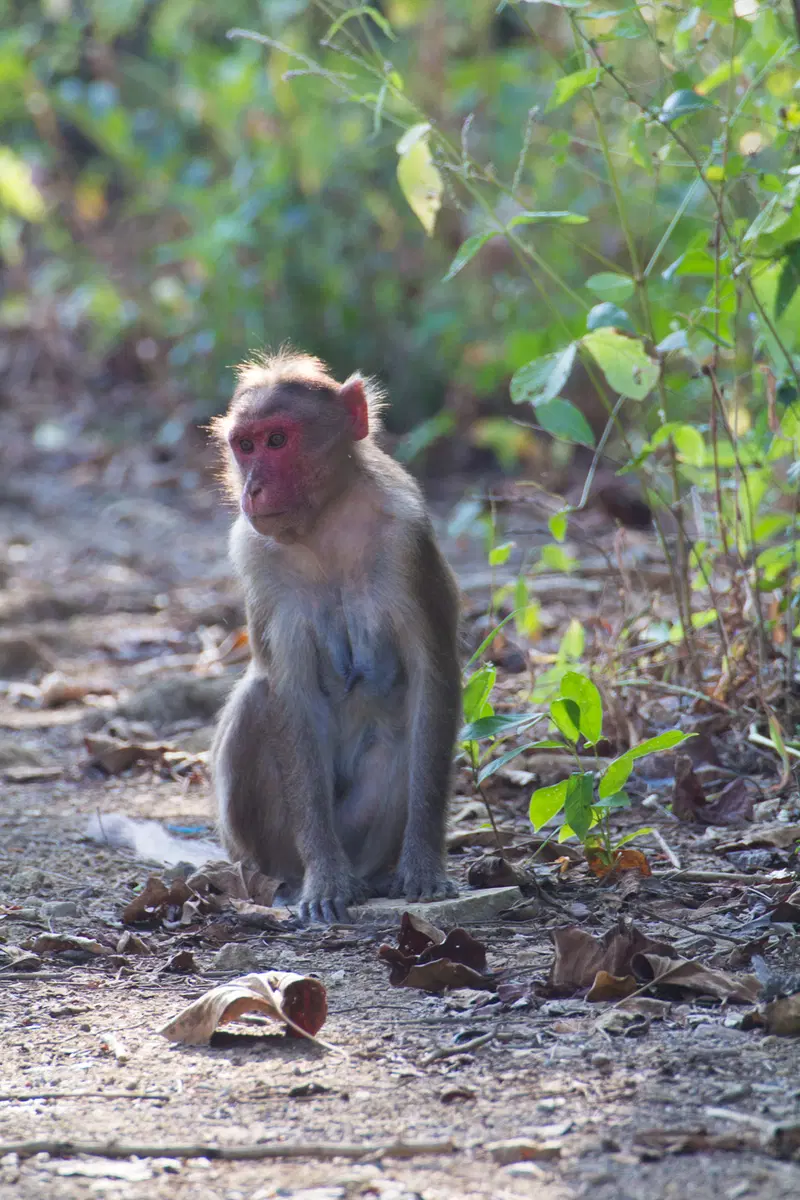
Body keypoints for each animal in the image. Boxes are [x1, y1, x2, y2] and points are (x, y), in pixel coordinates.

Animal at [208, 350, 462, 924]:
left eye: (278, 440)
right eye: (245, 446)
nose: (253, 489)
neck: (325, 524)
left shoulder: (407, 539)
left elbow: (433, 678)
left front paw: (423, 862)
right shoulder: (254, 555)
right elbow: (290, 693)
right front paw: (325, 878)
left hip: (363, 835)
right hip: (261, 844)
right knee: (258, 697)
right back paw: (297, 879)